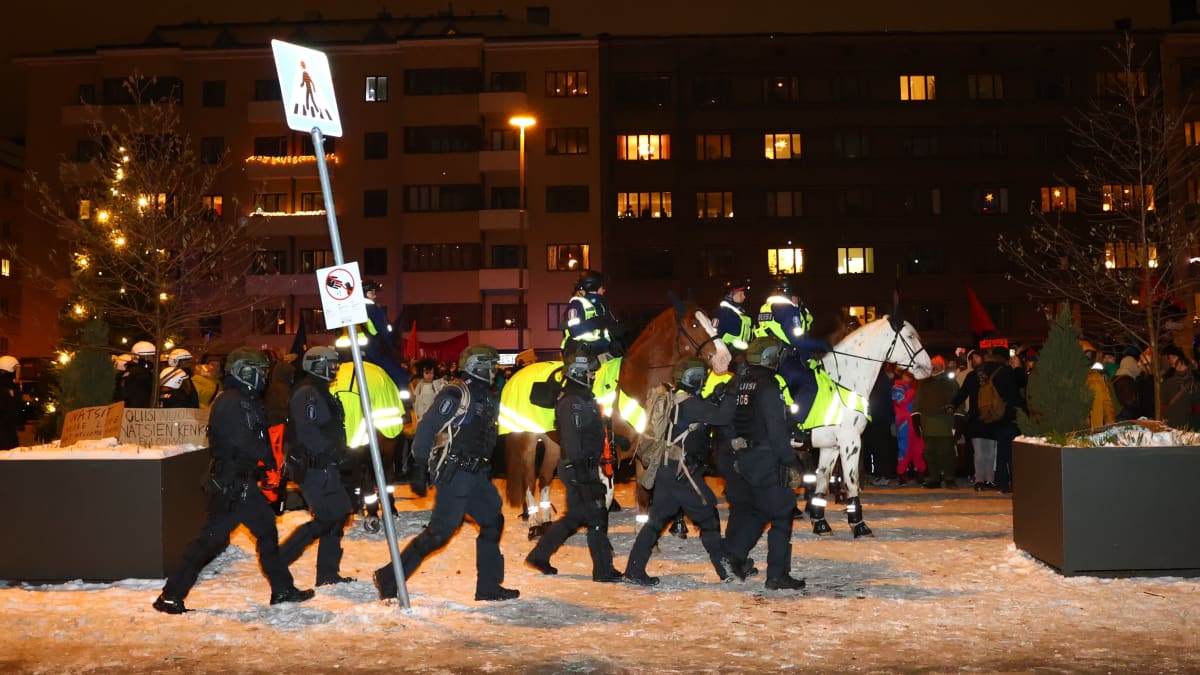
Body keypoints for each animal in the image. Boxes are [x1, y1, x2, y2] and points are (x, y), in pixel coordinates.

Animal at [496, 293, 729, 535]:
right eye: (694, 324)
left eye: (711, 322)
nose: (724, 357)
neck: (634, 384)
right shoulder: (603, 456)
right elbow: (605, 498)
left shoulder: (642, 452)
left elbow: (643, 495)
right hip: (527, 442)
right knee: (529, 482)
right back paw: (534, 524)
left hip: (552, 444)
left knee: (544, 479)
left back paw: (546, 521)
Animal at [801, 314, 931, 535]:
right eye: (911, 336)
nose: (930, 366)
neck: (843, 381)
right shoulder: (850, 442)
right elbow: (852, 481)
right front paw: (859, 524)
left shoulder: (830, 447)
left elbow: (822, 480)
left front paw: (820, 523)